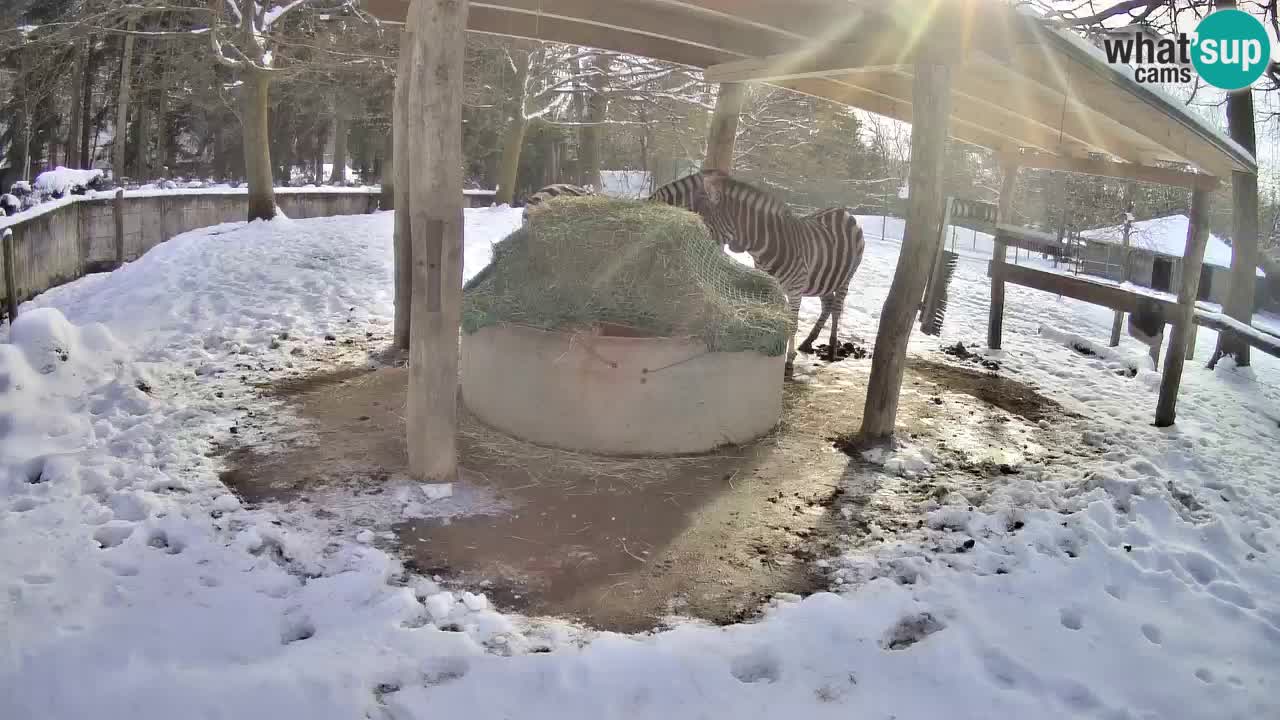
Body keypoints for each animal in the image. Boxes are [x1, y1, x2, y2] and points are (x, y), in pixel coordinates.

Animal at [650, 169, 865, 378]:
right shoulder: (766, 281)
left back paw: (831, 350)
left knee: (836, 308)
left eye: (701, 217)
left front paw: (788, 362)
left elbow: (792, 324)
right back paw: (808, 342)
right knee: (827, 305)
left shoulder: (795, 289)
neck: (769, 245)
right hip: (823, 279)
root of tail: (844, 212)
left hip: (846, 278)